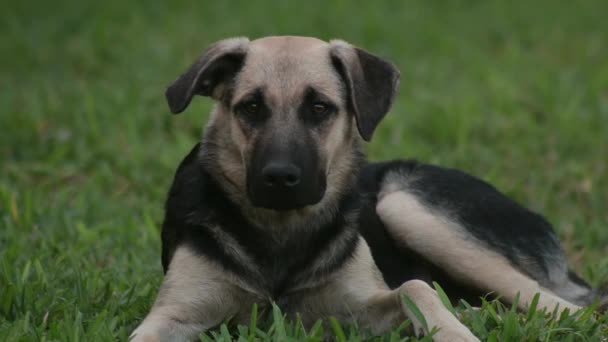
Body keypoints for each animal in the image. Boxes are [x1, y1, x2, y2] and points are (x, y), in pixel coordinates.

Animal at [129, 36, 604, 340]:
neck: (281, 230)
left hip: (404, 205)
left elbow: (415, 288)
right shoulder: (176, 312)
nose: (279, 178)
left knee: (573, 310)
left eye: (320, 108)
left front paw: (456, 332)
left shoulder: (353, 310)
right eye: (251, 107)